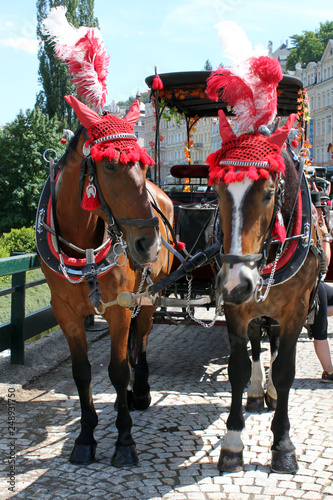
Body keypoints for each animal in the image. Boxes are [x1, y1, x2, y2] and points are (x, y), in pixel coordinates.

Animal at [38, 126, 174, 468]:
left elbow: (118, 369)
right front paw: (86, 437)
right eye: (110, 165)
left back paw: (140, 391)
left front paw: (124, 441)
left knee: (143, 336)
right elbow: (82, 372)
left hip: (150, 295)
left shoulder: (120, 308)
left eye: (145, 165)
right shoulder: (65, 312)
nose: (148, 244)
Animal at [209, 115, 320, 474]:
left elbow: (285, 370)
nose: (237, 283)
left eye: (269, 193)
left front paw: (282, 444)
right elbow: (238, 368)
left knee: (274, 345)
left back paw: (269, 393)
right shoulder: (236, 310)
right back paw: (258, 391)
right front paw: (232, 442)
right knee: (259, 343)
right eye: (217, 190)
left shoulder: (296, 309)